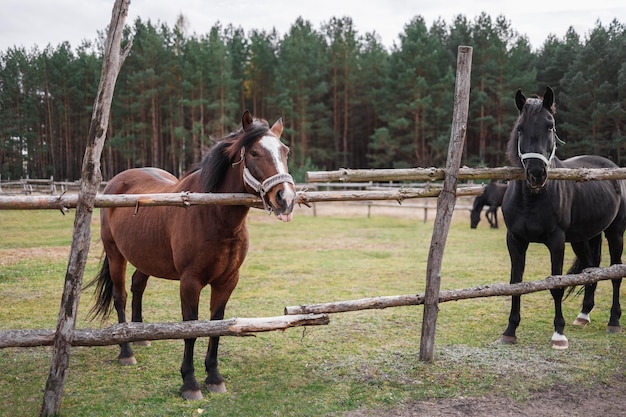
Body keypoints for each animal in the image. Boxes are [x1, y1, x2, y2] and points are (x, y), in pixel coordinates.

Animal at [86, 111, 296, 400]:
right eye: (254, 152)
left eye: (285, 151)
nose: (286, 198)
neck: (213, 215)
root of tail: (116, 183)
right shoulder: (190, 282)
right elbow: (191, 330)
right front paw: (190, 383)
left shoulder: (227, 281)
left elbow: (216, 327)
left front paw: (214, 378)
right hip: (116, 254)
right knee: (121, 296)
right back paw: (126, 350)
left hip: (146, 258)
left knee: (138, 286)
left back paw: (141, 336)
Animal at [498, 87, 624, 348]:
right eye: (520, 128)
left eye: (550, 126)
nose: (536, 174)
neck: (532, 199)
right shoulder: (515, 240)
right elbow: (516, 283)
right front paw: (510, 330)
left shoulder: (556, 242)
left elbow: (556, 285)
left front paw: (559, 334)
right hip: (582, 238)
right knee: (591, 268)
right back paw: (584, 314)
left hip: (615, 233)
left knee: (615, 274)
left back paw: (613, 321)